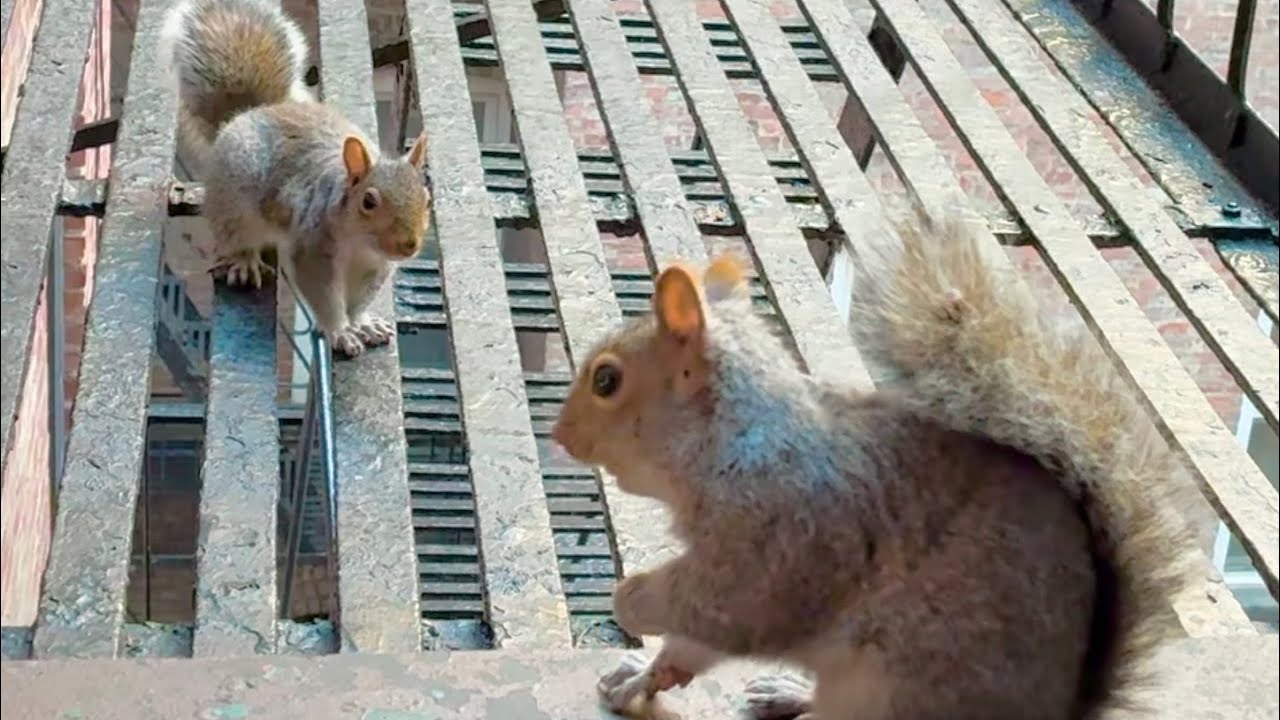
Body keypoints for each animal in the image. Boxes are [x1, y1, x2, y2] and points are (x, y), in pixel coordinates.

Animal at [160, 0, 431, 357]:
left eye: (427, 200)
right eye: (369, 201)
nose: (409, 245)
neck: (361, 243)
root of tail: (245, 114)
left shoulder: (375, 267)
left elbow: (358, 302)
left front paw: (362, 323)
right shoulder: (313, 248)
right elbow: (324, 296)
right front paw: (340, 332)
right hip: (233, 206)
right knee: (237, 236)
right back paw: (244, 262)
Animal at [550, 217, 1198, 720]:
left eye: (606, 381)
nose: (559, 436)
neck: (733, 438)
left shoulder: (780, 541)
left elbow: (725, 607)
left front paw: (631, 599)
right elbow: (693, 644)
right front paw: (643, 676)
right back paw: (786, 690)